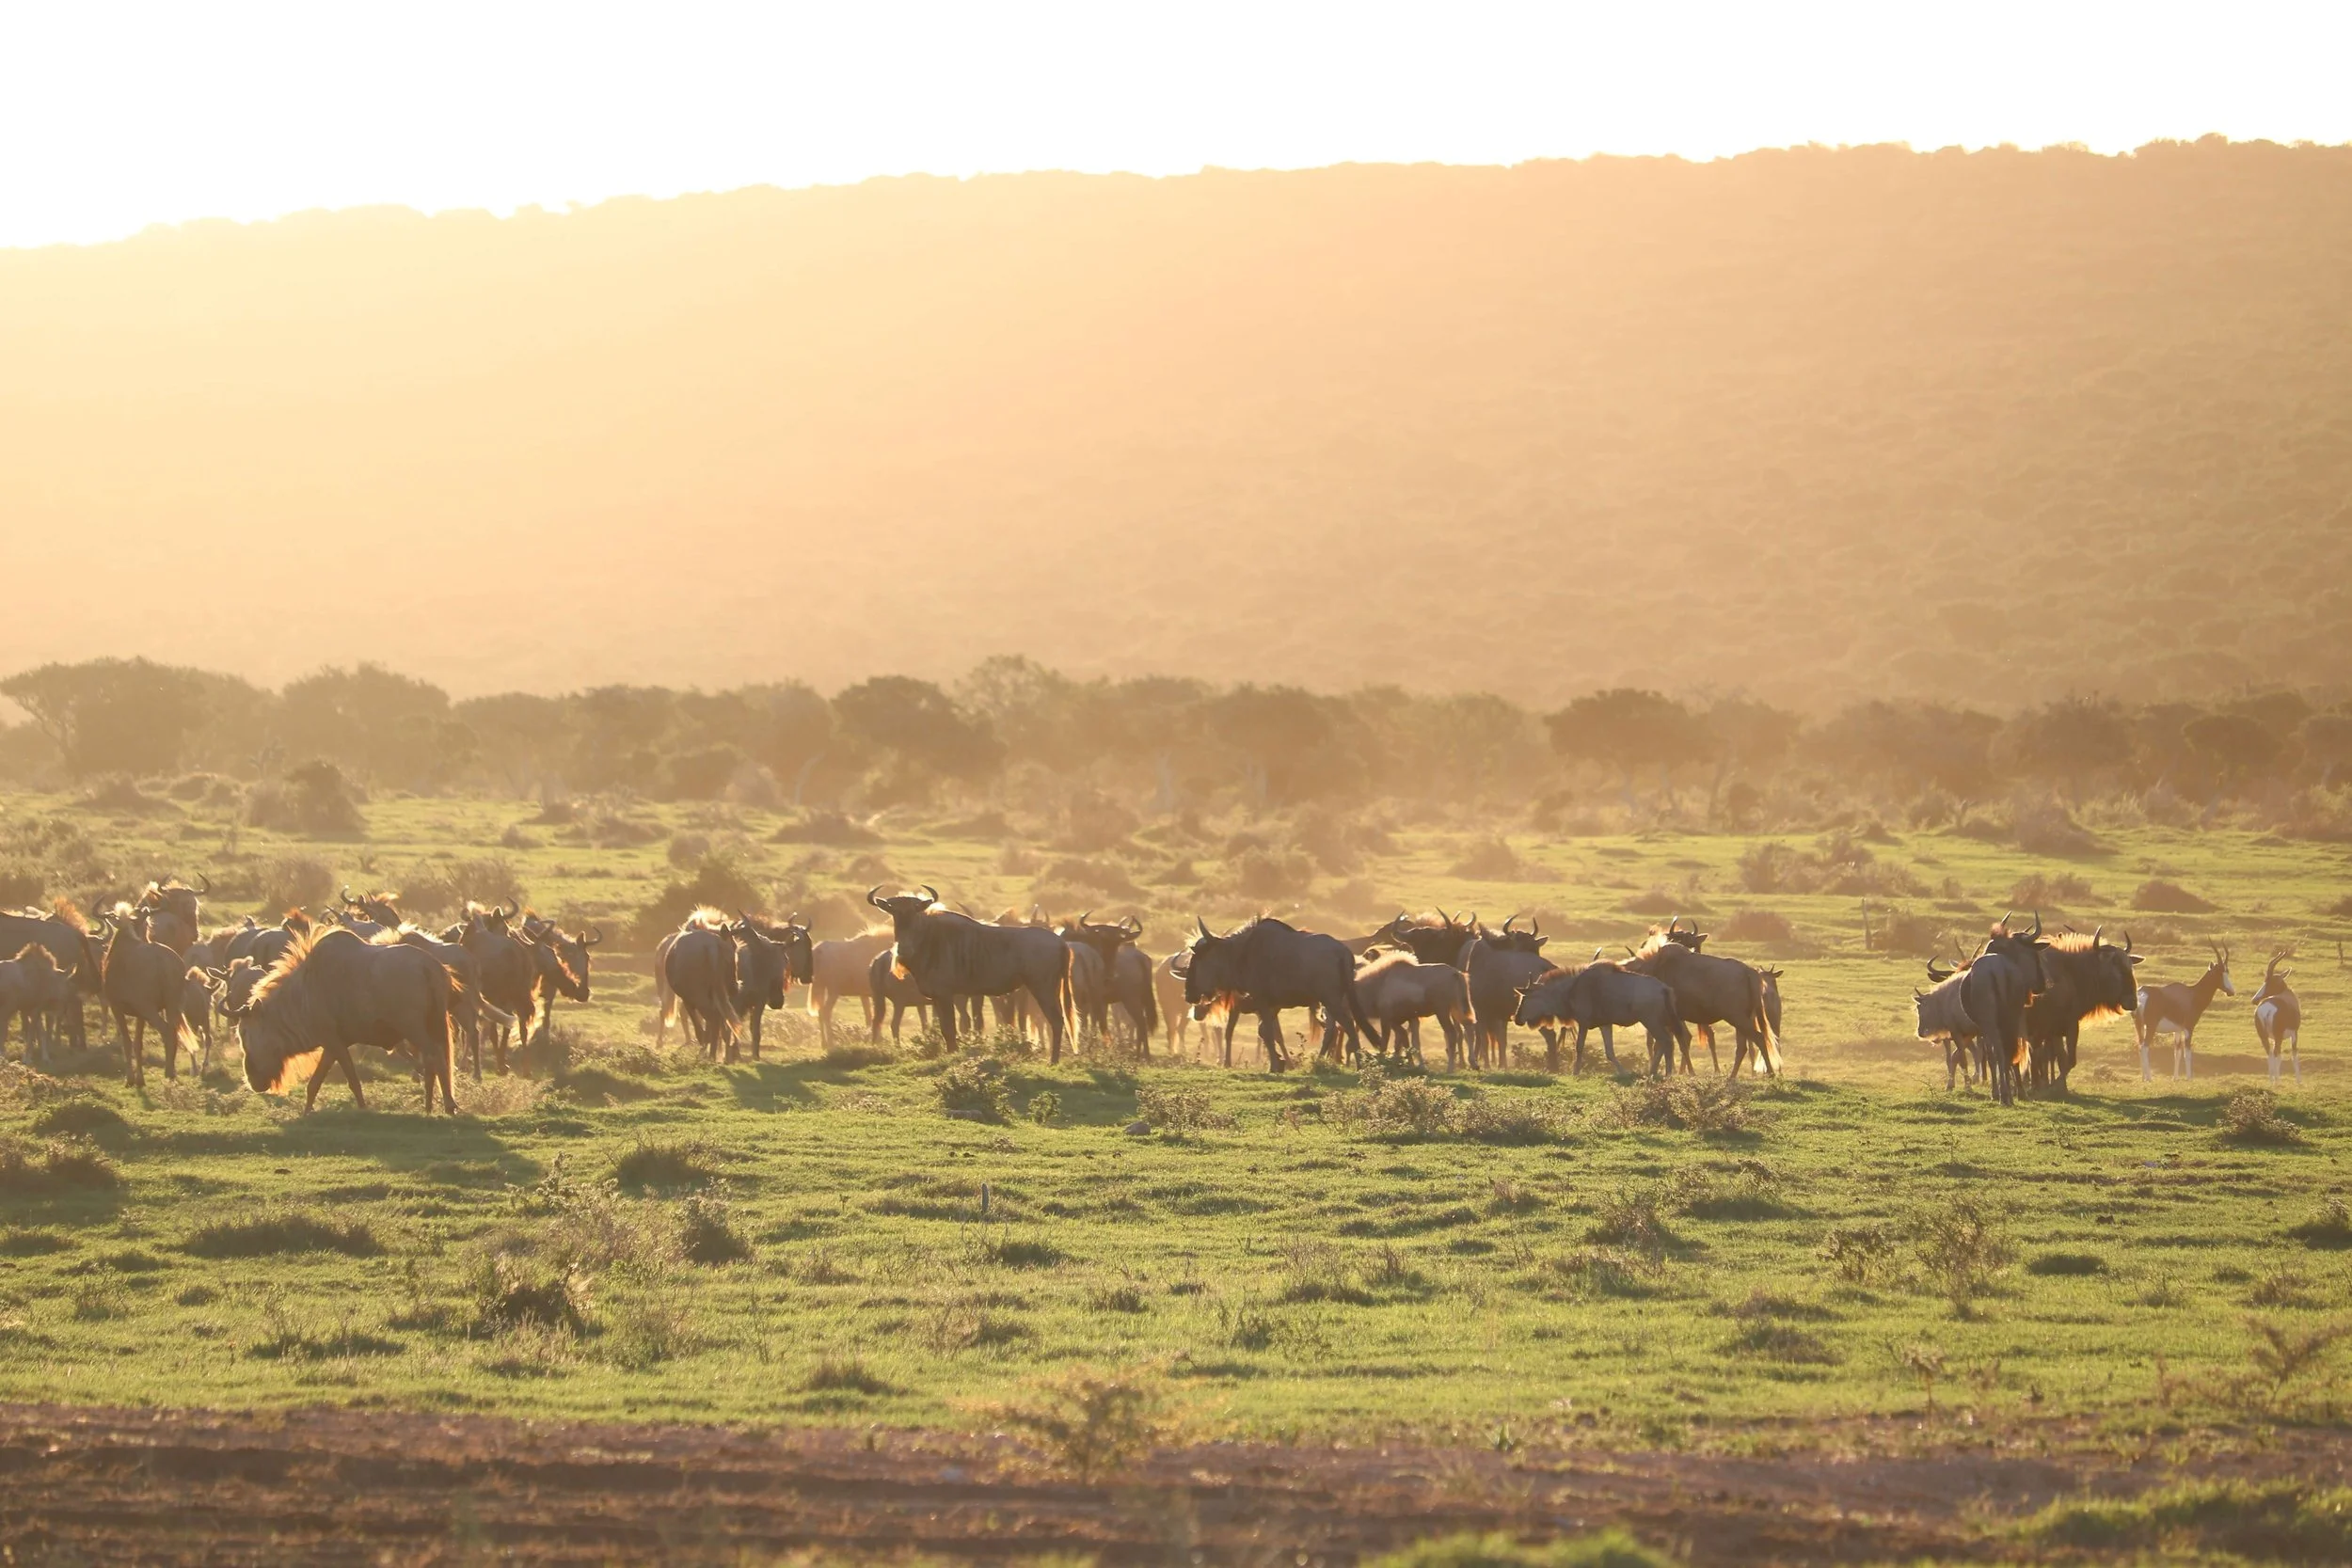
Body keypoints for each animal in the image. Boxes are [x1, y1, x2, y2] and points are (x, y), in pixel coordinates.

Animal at [2134, 942, 2233, 1081]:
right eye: (2219, 973)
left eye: (2227, 971)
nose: (2231, 992)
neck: (2192, 994)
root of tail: (2143, 994)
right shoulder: (2188, 1028)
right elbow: (2188, 1052)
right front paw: (2189, 1078)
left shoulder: (2177, 1030)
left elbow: (2177, 1052)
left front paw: (2175, 1078)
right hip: (2151, 1027)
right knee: (2145, 1047)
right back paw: (2149, 1078)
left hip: (2139, 1026)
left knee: (2140, 1046)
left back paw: (2143, 1077)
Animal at [2251, 950, 2302, 1085]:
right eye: (2265, 981)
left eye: (2269, 982)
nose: (2255, 1000)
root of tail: (2267, 1009)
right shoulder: (2294, 1034)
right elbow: (2293, 1054)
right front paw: (2299, 1081)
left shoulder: (2273, 1038)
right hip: (2278, 1036)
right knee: (2277, 1053)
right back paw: (2278, 1081)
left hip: (2263, 1036)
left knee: (2269, 1054)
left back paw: (2271, 1081)